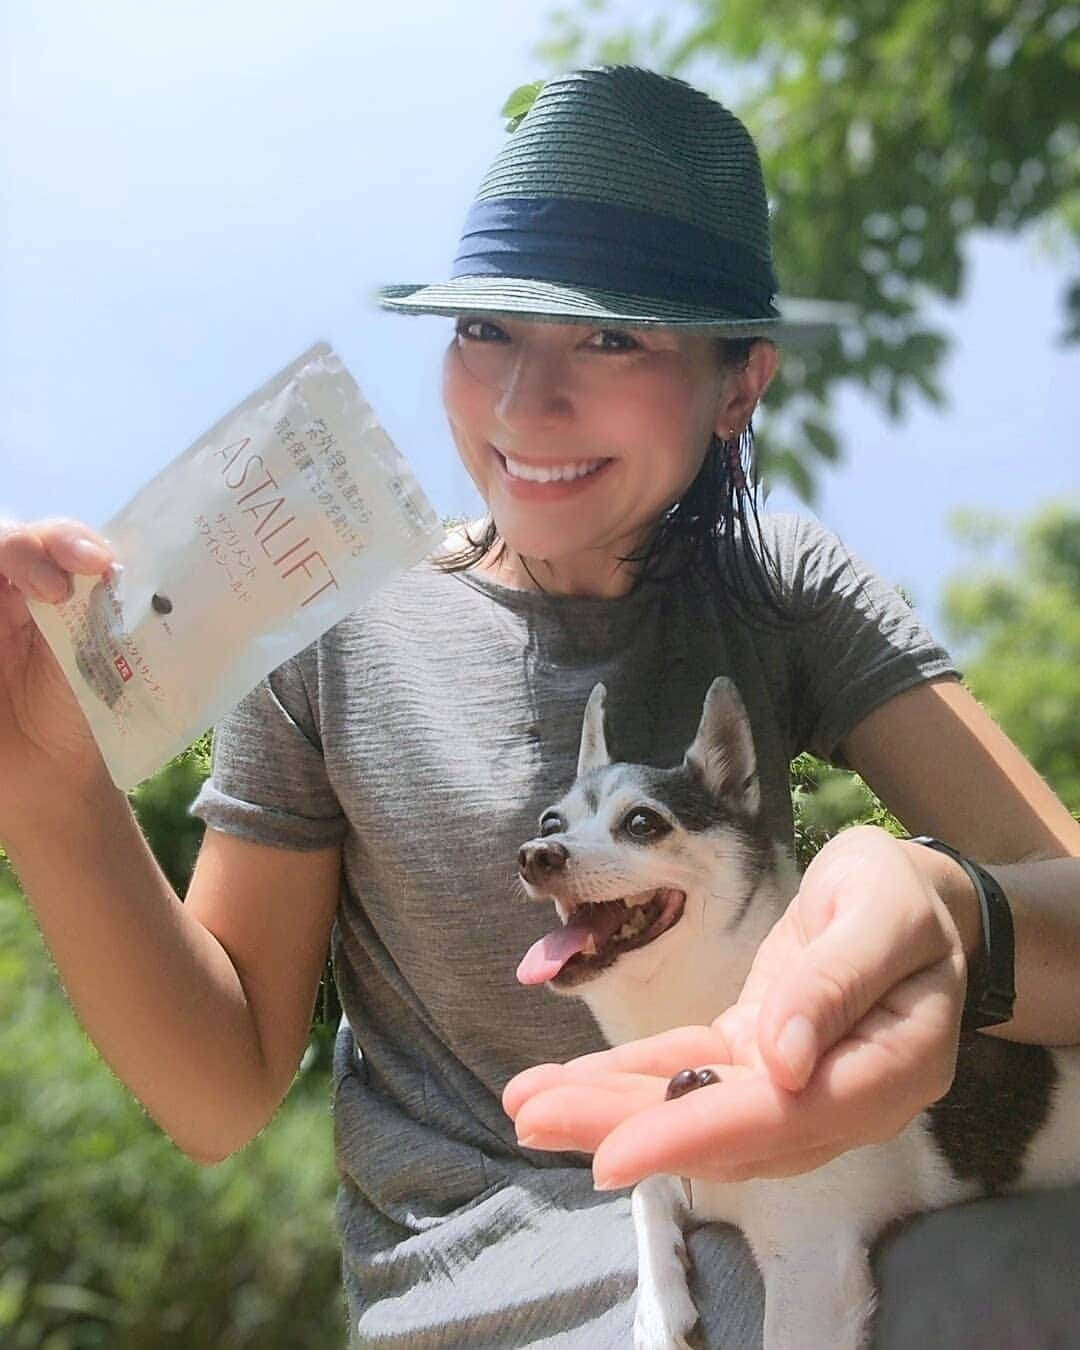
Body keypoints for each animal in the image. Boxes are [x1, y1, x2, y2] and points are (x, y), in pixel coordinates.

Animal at [515, 680, 1080, 1350]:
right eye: (552, 822)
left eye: (642, 823)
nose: (536, 853)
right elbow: (646, 1189)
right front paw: (657, 1309)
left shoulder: (810, 1267)